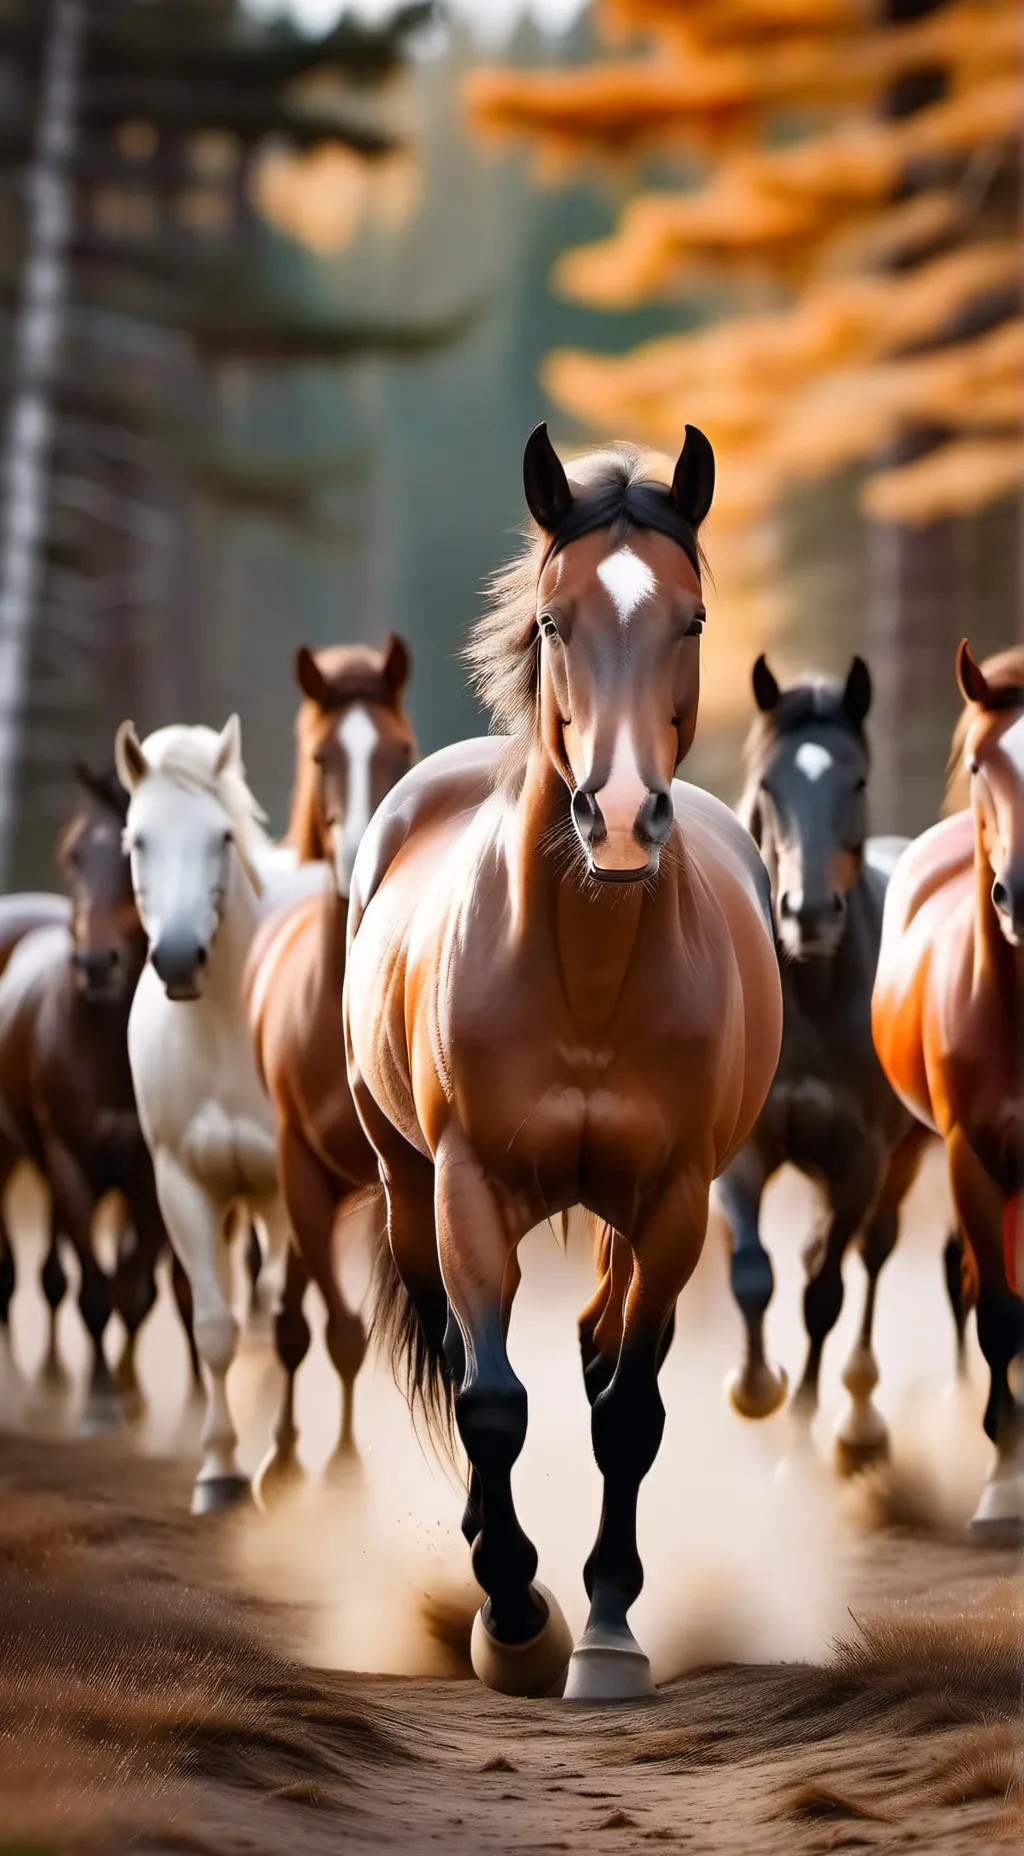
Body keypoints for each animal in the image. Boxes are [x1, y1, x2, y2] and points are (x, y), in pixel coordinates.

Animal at [0, 764, 193, 1424]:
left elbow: (133, 1287)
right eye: (72, 855)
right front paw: (100, 1400)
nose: (95, 962)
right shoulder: (67, 1160)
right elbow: (93, 1288)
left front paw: (128, 1393)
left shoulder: (149, 1170)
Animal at [118, 716, 327, 1514]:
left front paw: (283, 1461)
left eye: (222, 837)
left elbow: (283, 1322)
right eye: (136, 838)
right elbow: (214, 1327)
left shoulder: (292, 1188)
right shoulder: (183, 1184)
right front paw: (220, 1471)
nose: (179, 958)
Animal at [344, 424, 782, 1701]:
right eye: (553, 618)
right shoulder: (468, 1186)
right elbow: (491, 1398)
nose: (621, 818)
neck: (583, 975)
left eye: (691, 618)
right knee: (458, 1354)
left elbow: (627, 1410)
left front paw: (607, 1629)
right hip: (405, 1184)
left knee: (599, 1353)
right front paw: (514, 1616)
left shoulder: (674, 1198)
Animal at [715, 659, 930, 1469]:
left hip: (906, 1157)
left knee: (870, 1254)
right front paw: (755, 1389)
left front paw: (800, 1440)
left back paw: (859, 1422)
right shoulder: (745, 1151)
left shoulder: (859, 1159)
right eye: (770, 785)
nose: (807, 913)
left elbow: (823, 1295)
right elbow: (753, 1274)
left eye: (857, 780)